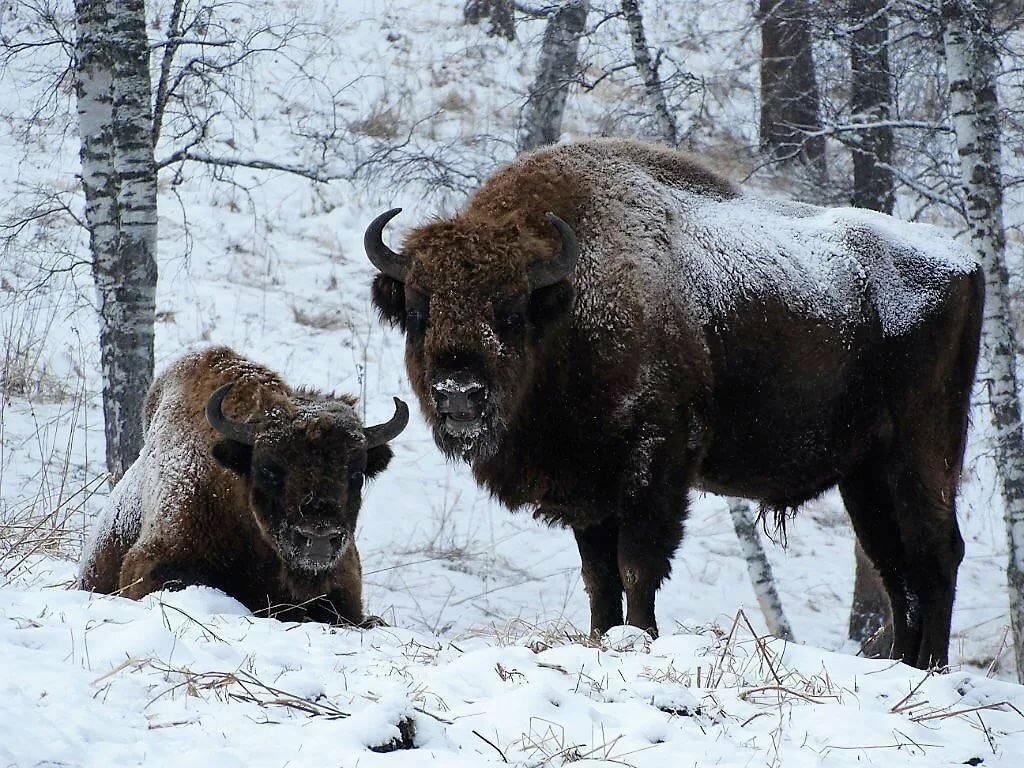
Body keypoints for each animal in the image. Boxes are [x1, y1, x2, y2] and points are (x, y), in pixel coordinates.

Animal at [366, 140, 983, 671]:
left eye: (512, 312)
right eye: (418, 311)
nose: (459, 393)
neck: (571, 304)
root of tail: (965, 261)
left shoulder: (655, 462)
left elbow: (637, 564)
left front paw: (641, 638)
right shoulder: (589, 487)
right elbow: (599, 575)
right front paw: (603, 637)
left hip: (923, 453)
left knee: (936, 552)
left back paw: (931, 668)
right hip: (865, 474)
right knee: (893, 563)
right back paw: (903, 663)